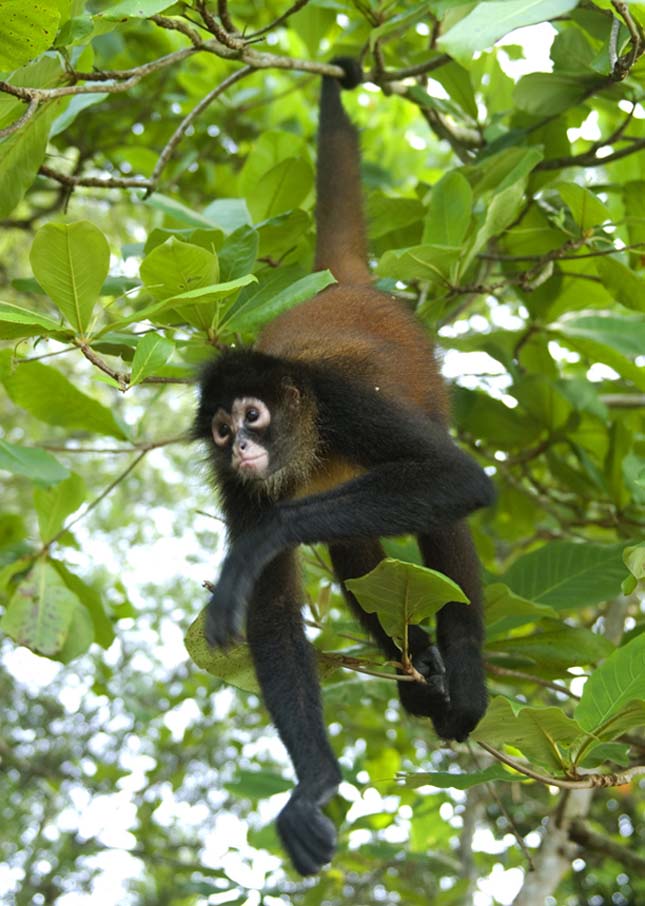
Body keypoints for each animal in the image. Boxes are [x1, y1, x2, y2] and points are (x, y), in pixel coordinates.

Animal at [192, 58, 494, 876]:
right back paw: (413, 666)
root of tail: (346, 288)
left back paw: (460, 668)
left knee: (437, 505)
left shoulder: (344, 400)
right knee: (356, 548)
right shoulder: (237, 483)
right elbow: (268, 611)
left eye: (252, 417)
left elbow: (459, 481)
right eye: (222, 429)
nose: (240, 447)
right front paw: (314, 784)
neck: (303, 440)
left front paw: (253, 549)